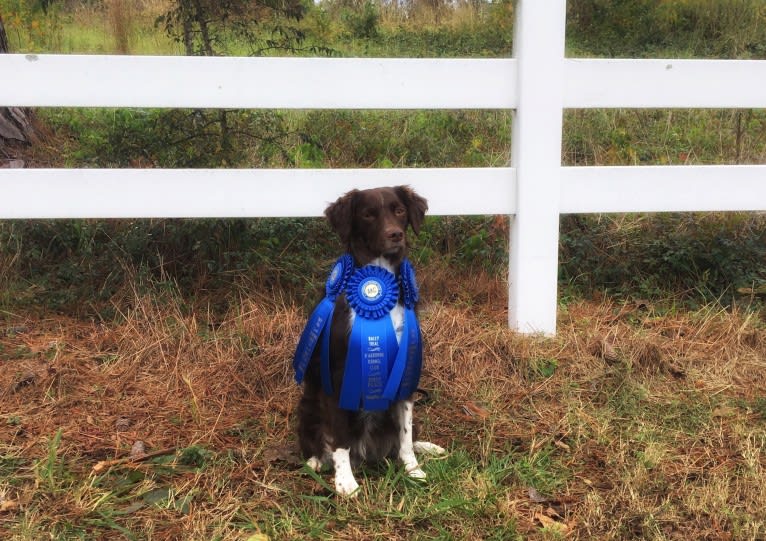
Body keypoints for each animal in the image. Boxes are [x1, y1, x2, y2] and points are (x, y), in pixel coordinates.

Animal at [296, 187, 448, 498]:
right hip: (307, 406)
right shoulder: (338, 377)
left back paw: (427, 447)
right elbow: (339, 437)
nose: (395, 234)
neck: (379, 276)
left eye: (399, 210)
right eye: (367, 214)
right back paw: (317, 461)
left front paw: (412, 470)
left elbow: (405, 434)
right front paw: (345, 482)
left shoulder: (406, 371)